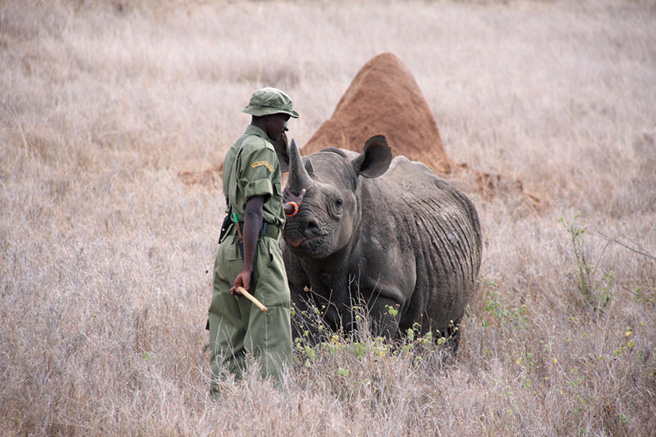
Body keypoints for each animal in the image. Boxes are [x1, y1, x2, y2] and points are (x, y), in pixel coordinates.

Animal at [282, 136, 482, 348]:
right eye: (283, 198)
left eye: (338, 203)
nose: (297, 226)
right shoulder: (295, 283)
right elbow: (306, 336)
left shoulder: (385, 289)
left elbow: (376, 336)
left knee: (450, 326)